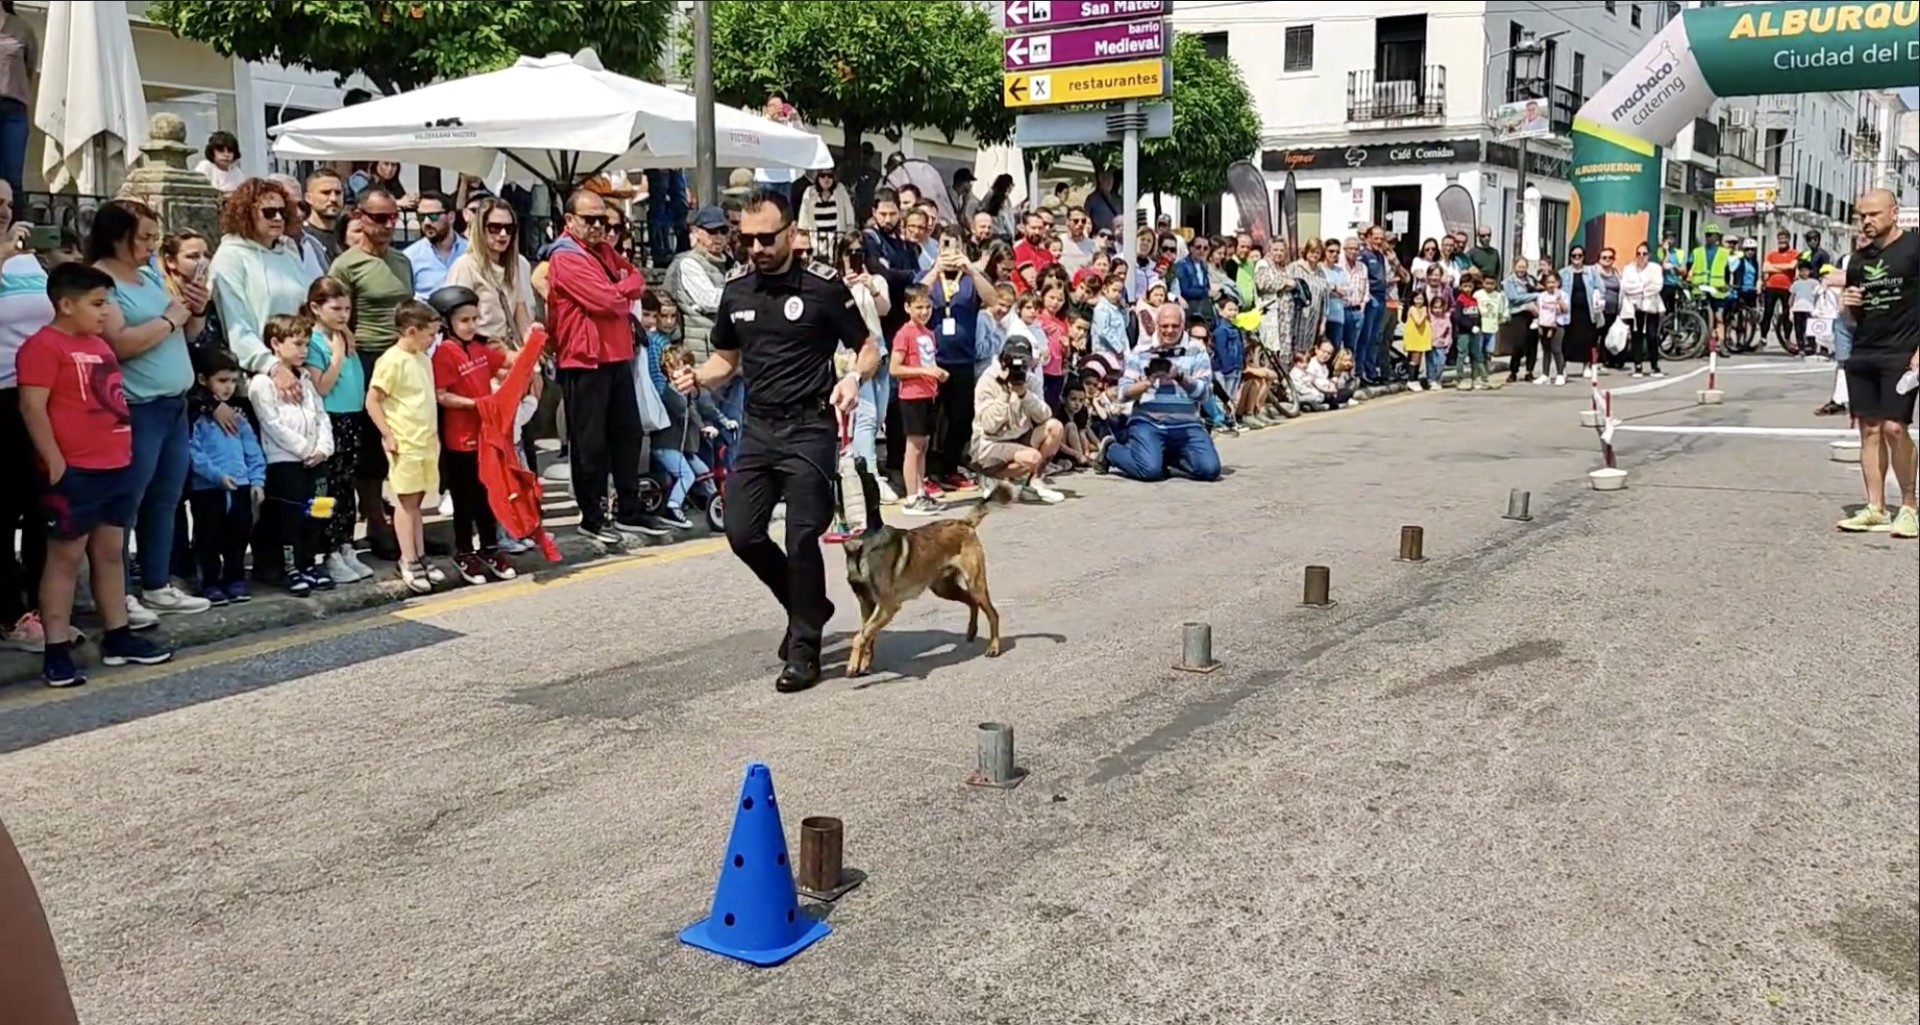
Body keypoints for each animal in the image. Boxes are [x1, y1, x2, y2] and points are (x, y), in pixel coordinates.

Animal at [848, 462, 1013, 679]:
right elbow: (868, 635)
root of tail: (964, 523)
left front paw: (853, 665)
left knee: (992, 613)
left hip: (975, 583)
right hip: (944, 588)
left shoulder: (887, 606)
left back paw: (994, 647)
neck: (863, 542)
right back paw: (971, 631)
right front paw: (864, 663)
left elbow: (861, 635)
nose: (859, 460)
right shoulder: (867, 604)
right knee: (972, 602)